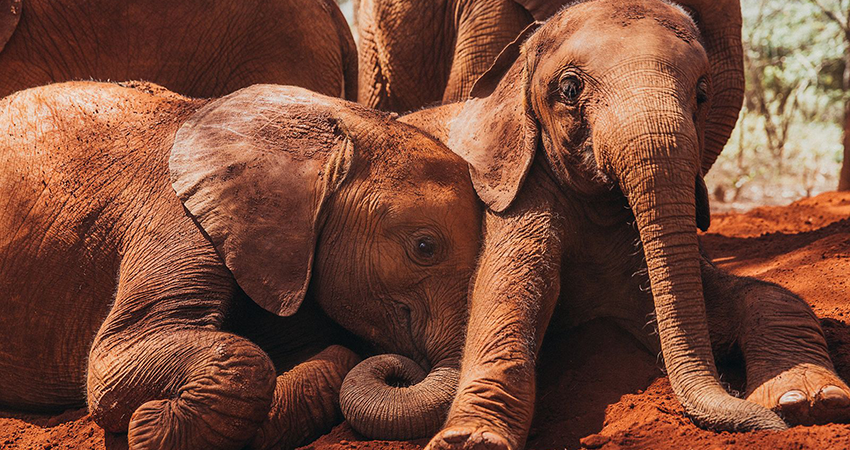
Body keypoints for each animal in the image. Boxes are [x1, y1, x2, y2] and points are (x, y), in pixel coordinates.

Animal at [0, 81, 481, 450]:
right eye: (424, 247)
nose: (403, 372)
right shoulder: (177, 217)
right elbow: (115, 361)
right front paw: (148, 426)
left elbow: (334, 355)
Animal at [397, 1, 850, 449]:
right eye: (569, 89)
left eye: (702, 93)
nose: (771, 427)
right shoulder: (517, 189)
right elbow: (506, 299)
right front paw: (471, 440)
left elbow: (761, 295)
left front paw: (809, 402)